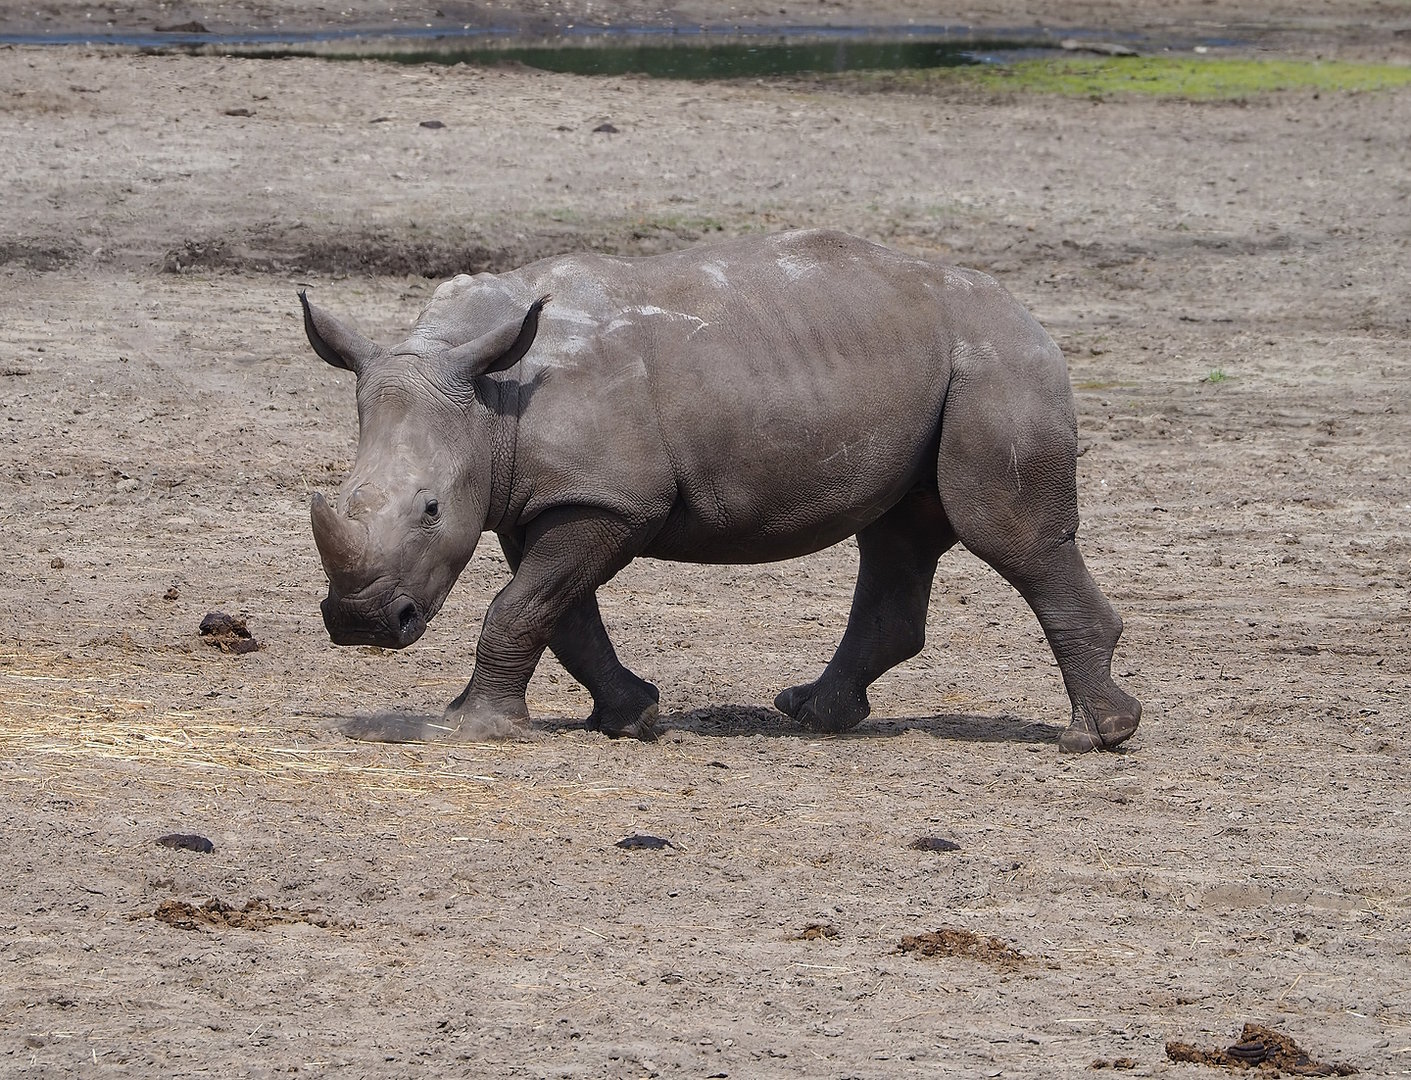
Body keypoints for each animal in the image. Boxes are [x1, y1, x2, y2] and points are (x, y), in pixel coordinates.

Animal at [301, 229, 1140, 752]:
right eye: (343, 497)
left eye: (431, 509)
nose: (360, 623)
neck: (485, 393)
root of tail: (1026, 312)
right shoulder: (546, 494)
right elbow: (562, 616)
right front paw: (632, 718)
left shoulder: (608, 500)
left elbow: (520, 607)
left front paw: (473, 727)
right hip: (931, 368)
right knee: (897, 536)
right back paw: (812, 715)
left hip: (996, 365)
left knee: (1004, 536)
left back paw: (1093, 737)